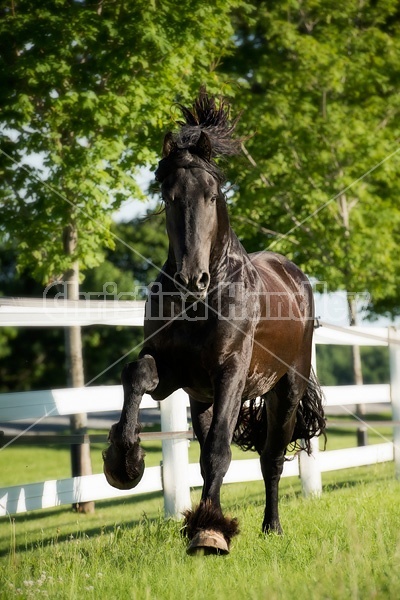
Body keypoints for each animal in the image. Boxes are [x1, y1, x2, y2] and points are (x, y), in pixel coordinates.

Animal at [103, 89, 324, 552]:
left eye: (212, 194)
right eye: (168, 195)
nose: (192, 279)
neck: (202, 303)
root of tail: (294, 275)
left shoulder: (231, 372)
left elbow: (222, 451)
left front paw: (210, 531)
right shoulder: (175, 373)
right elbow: (137, 375)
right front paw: (124, 461)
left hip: (286, 389)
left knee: (270, 458)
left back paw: (270, 527)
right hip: (201, 398)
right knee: (209, 451)